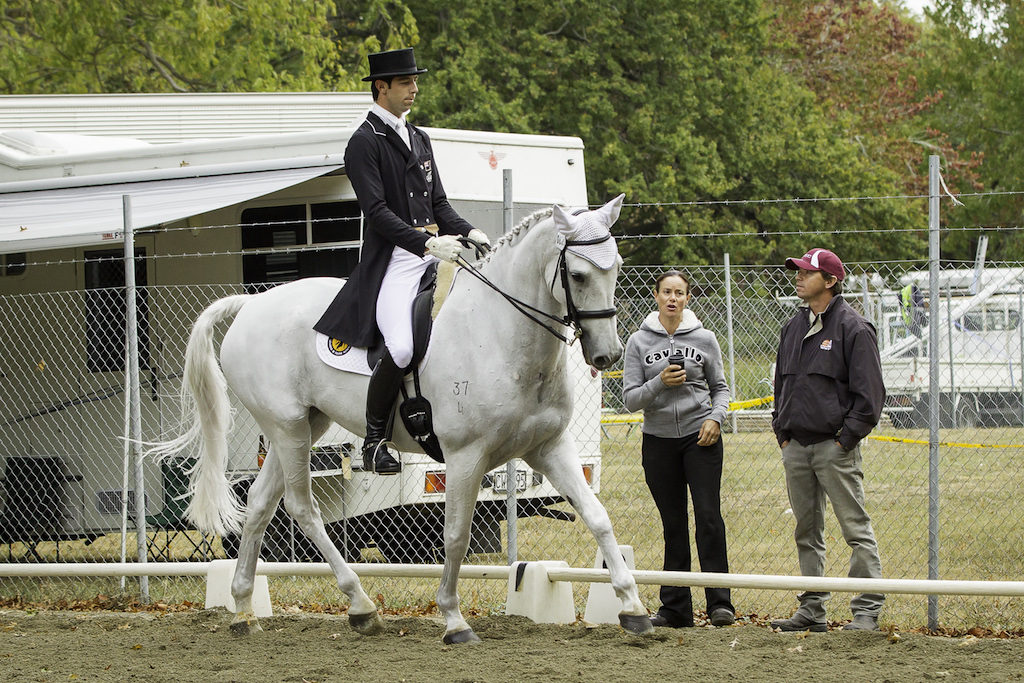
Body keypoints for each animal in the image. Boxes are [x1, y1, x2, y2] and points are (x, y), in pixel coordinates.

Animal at [150, 194, 647, 643]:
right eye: (578, 274)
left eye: (617, 265)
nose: (607, 355)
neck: (500, 334)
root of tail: (251, 305)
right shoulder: (465, 457)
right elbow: (455, 536)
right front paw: (454, 620)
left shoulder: (550, 448)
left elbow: (599, 518)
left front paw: (633, 607)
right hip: (287, 427)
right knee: (302, 508)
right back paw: (360, 605)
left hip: (301, 425)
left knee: (258, 503)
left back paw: (244, 610)